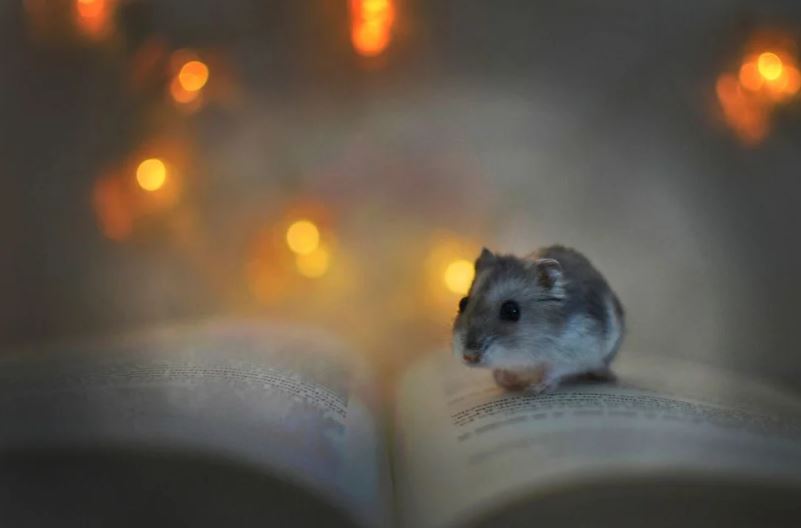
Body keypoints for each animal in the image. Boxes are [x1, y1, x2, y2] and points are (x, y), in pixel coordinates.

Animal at [451, 245, 625, 393]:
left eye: (511, 311)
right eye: (462, 302)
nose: (469, 356)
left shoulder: (575, 351)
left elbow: (554, 370)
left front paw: (535, 389)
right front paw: (506, 382)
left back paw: (610, 377)